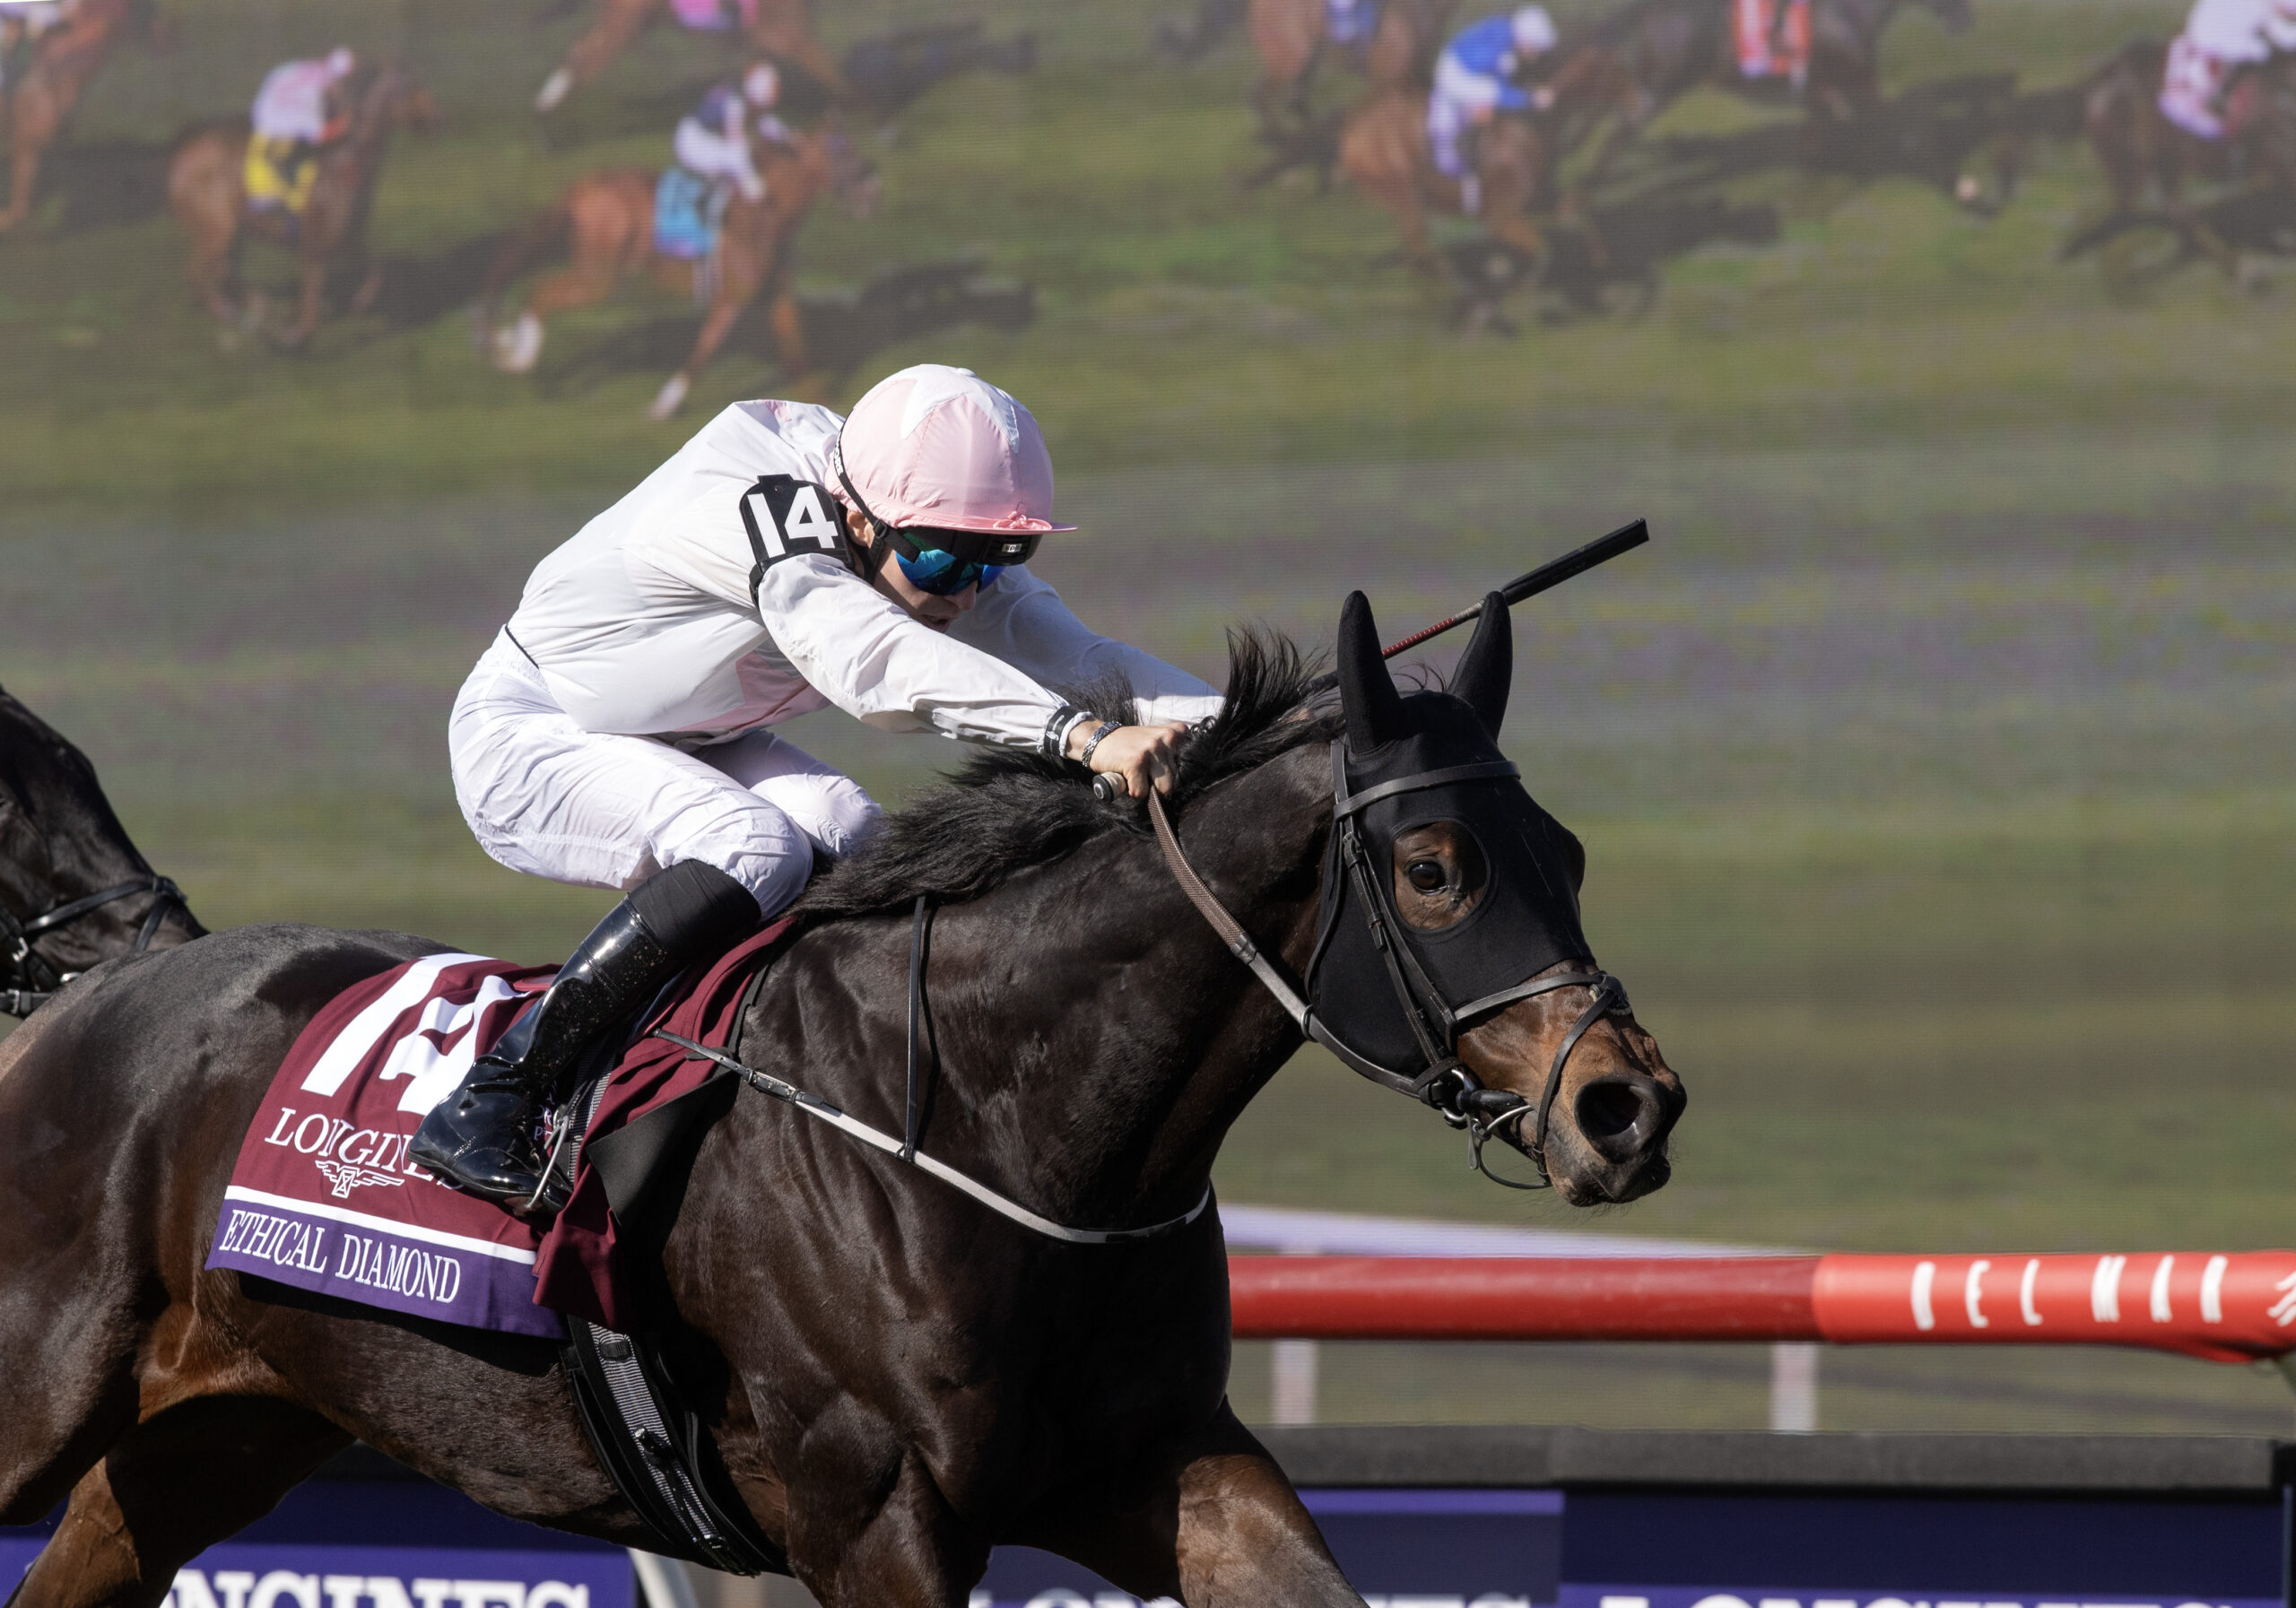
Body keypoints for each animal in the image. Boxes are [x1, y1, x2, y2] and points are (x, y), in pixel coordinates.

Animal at [165, 65, 441, 351]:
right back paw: (235, 313)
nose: (438, 118)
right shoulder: (315, 243)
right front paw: (292, 335)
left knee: (223, 272)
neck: (344, 164)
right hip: (217, 229)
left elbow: (374, 273)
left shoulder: (349, 237)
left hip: (231, 232)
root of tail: (179, 150)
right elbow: (310, 306)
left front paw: (358, 304)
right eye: (412, 89)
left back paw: (254, 306)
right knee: (198, 274)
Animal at [476, 123, 877, 420]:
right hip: (600, 276)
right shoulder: (730, 297)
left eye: (852, 148)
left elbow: (798, 353)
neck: (763, 211)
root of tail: (582, 187)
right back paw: (517, 357)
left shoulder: (777, 295)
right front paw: (662, 407)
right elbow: (703, 351)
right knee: (539, 293)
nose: (872, 189)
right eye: (840, 151)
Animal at [534, 0, 843, 114]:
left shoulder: (762, 40)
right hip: (626, 24)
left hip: (636, 22)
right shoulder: (788, 35)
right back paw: (548, 105)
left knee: (582, 53)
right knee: (584, 55)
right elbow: (833, 74)